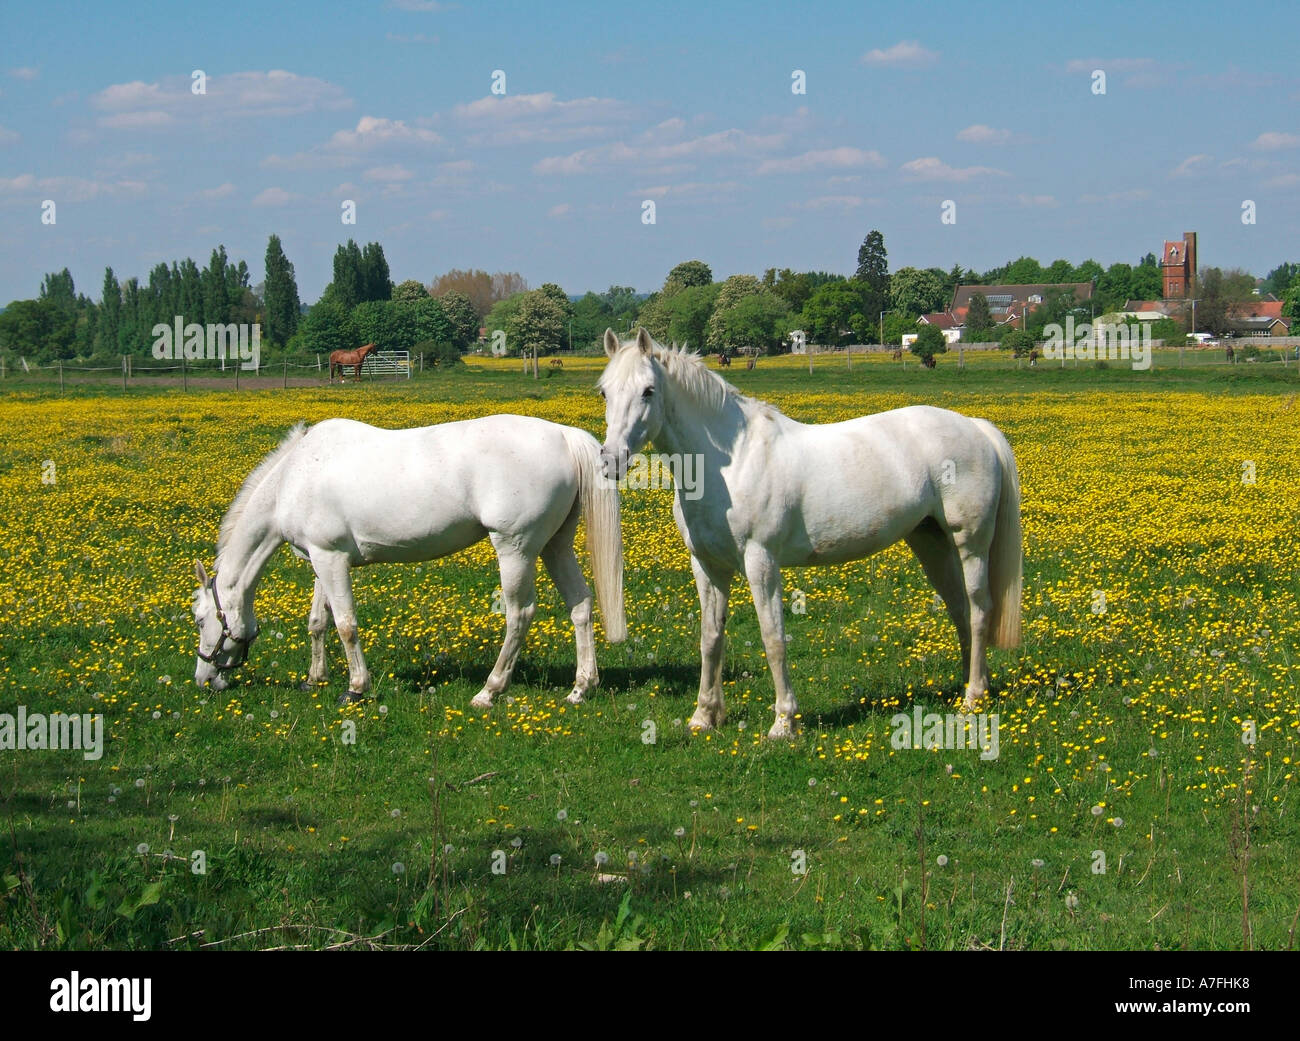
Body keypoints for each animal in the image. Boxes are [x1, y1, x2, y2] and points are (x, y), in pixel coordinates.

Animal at [192, 415, 625, 708]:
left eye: (199, 619)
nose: (204, 679)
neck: (295, 477)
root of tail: (565, 436)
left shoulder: (331, 560)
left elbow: (346, 625)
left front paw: (355, 688)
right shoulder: (322, 559)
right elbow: (319, 622)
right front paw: (314, 679)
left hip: (516, 549)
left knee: (520, 615)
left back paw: (489, 691)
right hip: (555, 546)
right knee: (580, 604)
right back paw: (581, 687)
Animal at [597, 328, 1022, 739]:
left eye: (648, 390)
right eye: (604, 391)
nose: (611, 460)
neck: (733, 462)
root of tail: (977, 428)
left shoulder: (761, 561)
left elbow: (773, 638)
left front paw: (785, 722)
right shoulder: (707, 565)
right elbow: (710, 637)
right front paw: (704, 717)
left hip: (971, 544)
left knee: (980, 609)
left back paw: (973, 698)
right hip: (931, 542)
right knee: (959, 610)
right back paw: (970, 686)